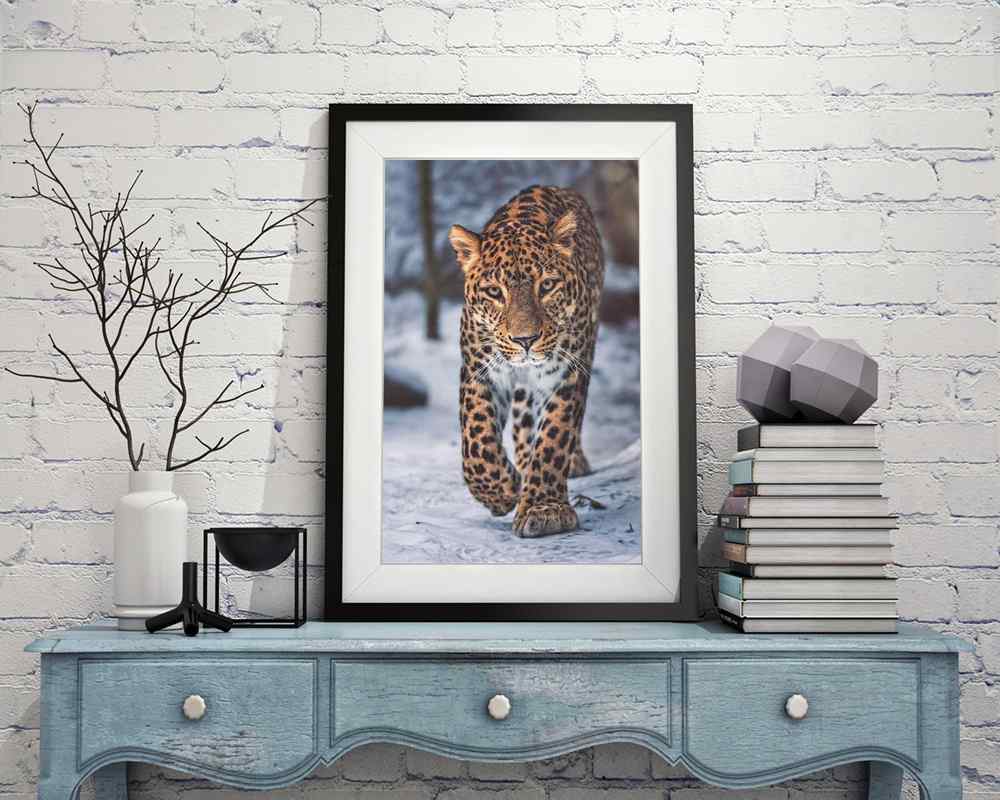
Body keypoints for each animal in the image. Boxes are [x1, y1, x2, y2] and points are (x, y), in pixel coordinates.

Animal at [448, 185, 605, 538]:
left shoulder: (568, 372)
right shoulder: (480, 370)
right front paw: (502, 491)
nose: (525, 340)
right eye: (495, 292)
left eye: (546, 286)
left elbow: (554, 437)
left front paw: (544, 509)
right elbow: (476, 440)